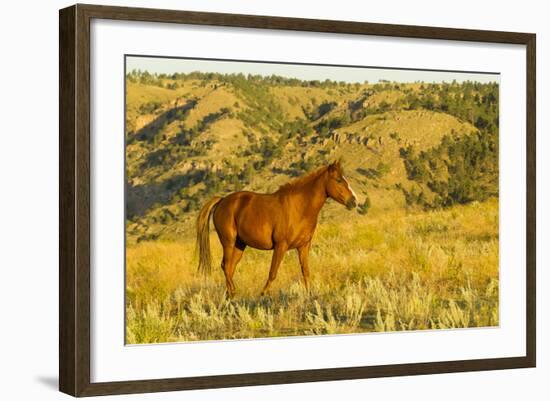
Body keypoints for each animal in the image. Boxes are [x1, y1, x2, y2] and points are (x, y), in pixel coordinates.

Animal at [196, 160, 360, 296]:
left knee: (230, 267)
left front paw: (309, 295)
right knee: (225, 266)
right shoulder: (281, 246)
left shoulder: (303, 246)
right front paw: (263, 294)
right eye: (339, 180)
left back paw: (230, 295)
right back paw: (233, 293)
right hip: (228, 242)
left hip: (239, 245)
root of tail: (222, 200)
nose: (353, 201)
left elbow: (305, 272)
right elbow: (273, 272)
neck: (299, 207)